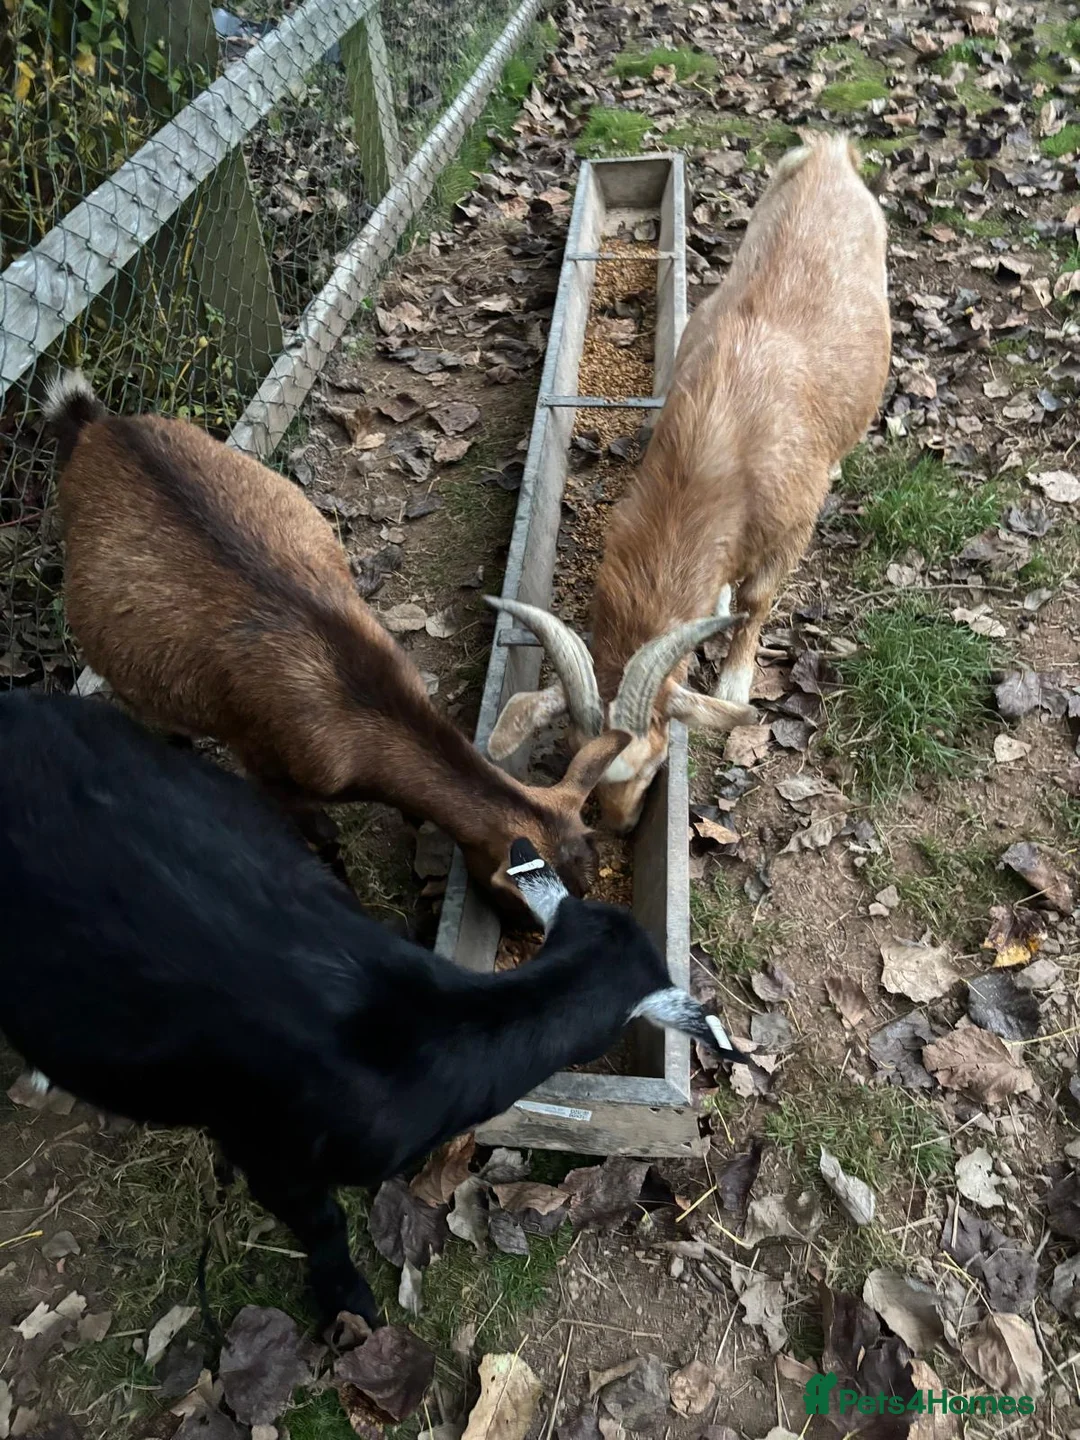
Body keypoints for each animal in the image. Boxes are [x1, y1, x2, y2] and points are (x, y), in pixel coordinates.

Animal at [45, 374, 630, 926]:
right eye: (528, 903)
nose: (526, 940)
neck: (359, 699)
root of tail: (96, 424)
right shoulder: (267, 765)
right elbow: (324, 838)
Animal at [485, 133, 891, 831]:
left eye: (654, 763)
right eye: (570, 754)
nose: (618, 826)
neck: (720, 450)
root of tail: (830, 155)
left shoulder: (791, 527)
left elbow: (759, 600)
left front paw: (734, 681)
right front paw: (719, 605)